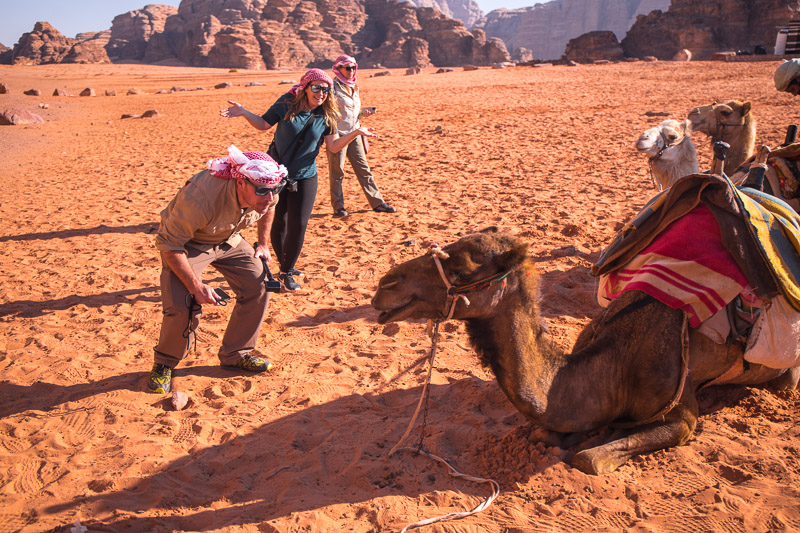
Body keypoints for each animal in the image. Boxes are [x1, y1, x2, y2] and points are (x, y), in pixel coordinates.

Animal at [374, 222, 800, 472]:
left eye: (461, 269)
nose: (384, 285)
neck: (614, 364)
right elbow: (547, 434)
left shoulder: (683, 416)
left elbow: (588, 460)